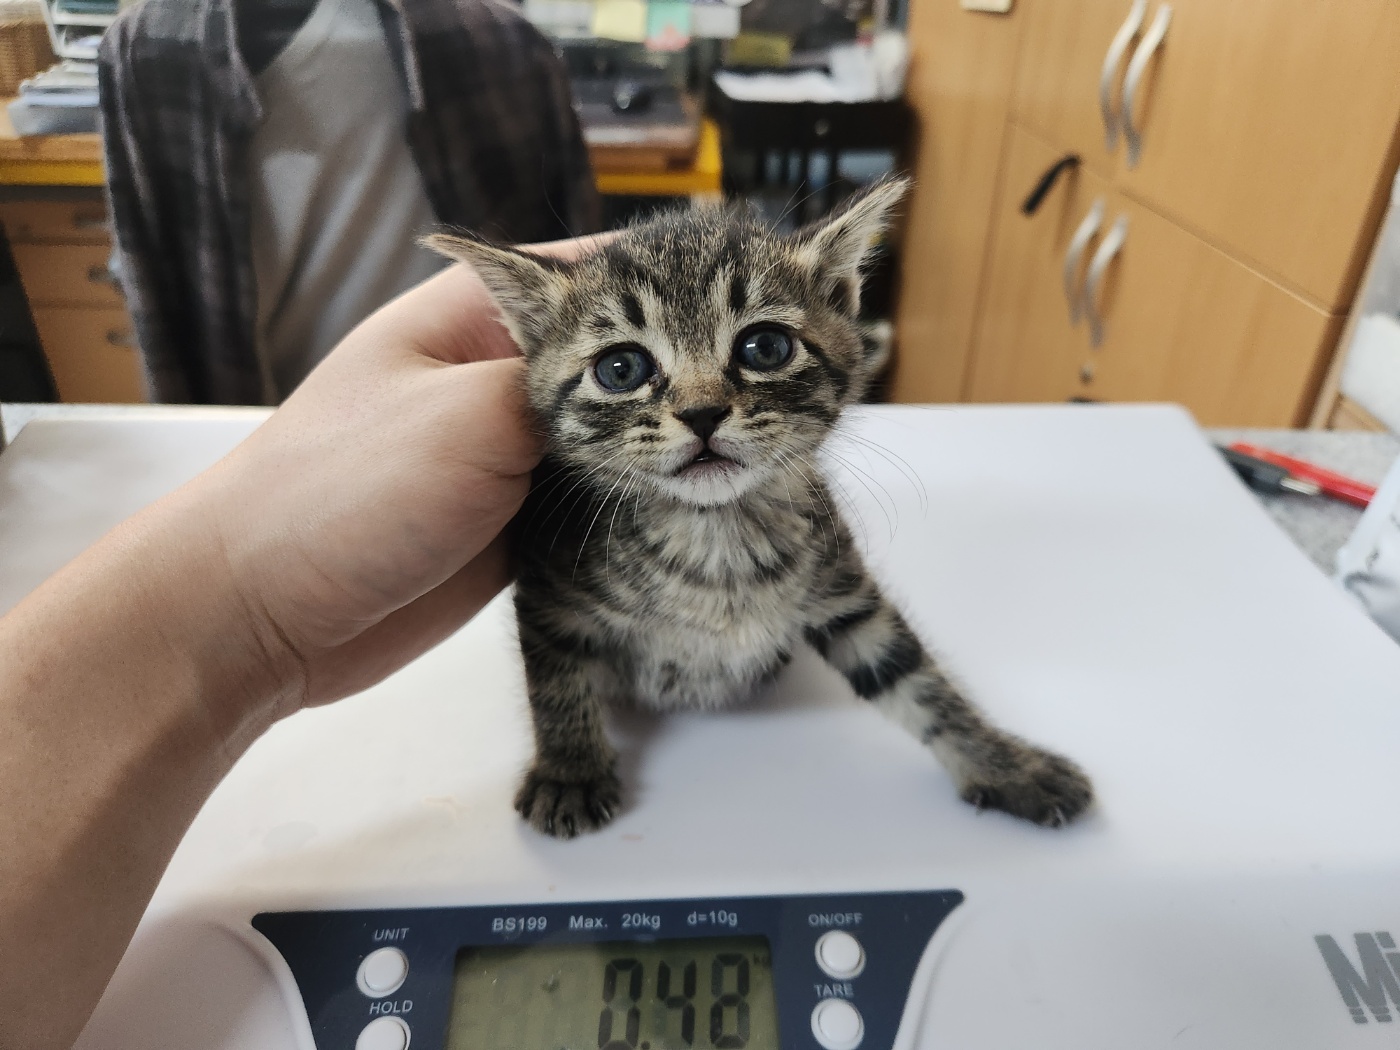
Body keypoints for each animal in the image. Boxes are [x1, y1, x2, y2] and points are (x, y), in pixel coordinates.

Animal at [425, 180, 1092, 840]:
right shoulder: (547, 589)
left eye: (765, 347)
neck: (715, 534)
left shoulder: (842, 586)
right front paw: (570, 771)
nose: (701, 413)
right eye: (621, 368)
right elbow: (556, 679)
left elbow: (916, 677)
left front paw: (1007, 765)